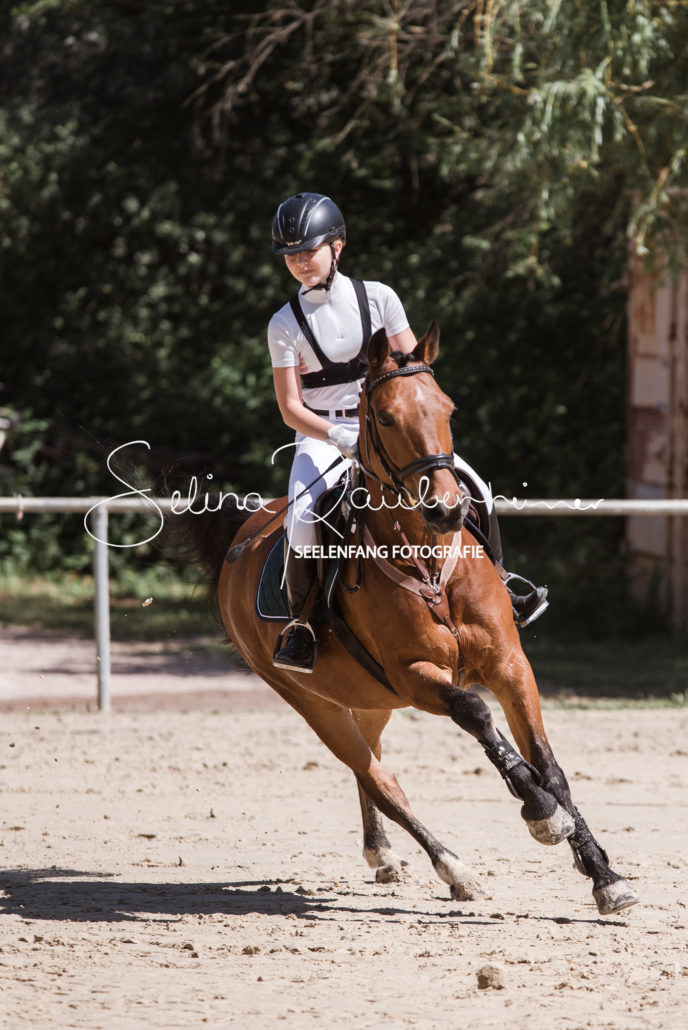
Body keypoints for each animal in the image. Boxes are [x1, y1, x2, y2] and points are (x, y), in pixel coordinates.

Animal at [177, 323, 639, 916]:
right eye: (385, 417)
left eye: (447, 408)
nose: (445, 508)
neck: (428, 562)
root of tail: (244, 532)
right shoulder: (416, 676)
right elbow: (478, 715)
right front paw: (540, 813)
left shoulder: (509, 663)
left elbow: (551, 766)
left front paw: (603, 873)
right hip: (316, 702)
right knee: (380, 780)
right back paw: (455, 869)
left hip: (371, 698)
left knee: (369, 764)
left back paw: (385, 855)